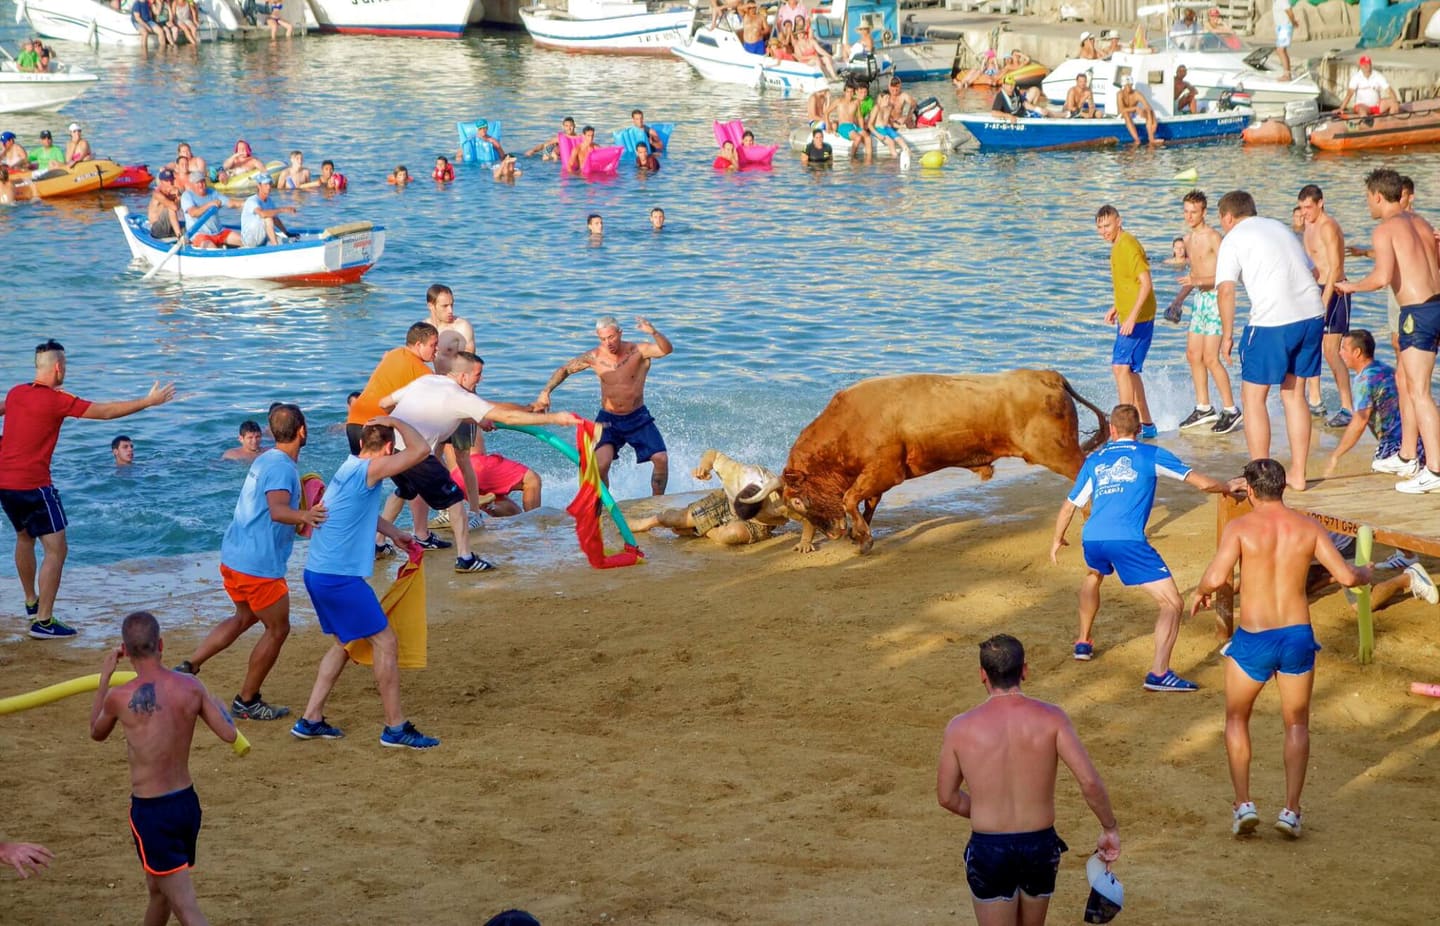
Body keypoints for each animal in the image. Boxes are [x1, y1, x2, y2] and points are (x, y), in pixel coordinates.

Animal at [740, 371, 1107, 554]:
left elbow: (850, 498)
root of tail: (1049, 375)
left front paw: (863, 538)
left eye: (798, 501)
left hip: (1057, 451)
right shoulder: (879, 476)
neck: (849, 422)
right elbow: (865, 502)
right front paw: (860, 534)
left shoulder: (885, 470)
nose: (831, 533)